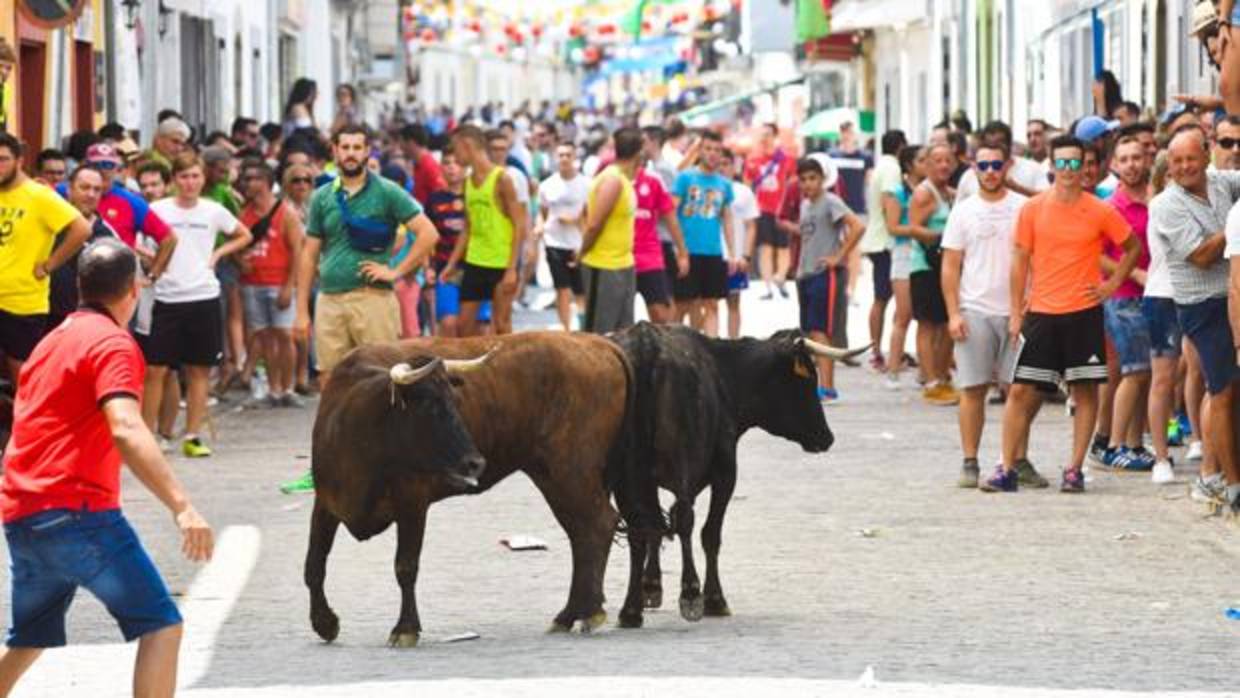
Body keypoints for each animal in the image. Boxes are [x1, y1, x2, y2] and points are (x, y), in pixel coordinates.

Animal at [303, 329, 664, 649]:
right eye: (429, 405)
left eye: (454, 401)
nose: (475, 462)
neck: (358, 426)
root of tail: (597, 343)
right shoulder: (326, 502)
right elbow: (314, 564)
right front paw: (324, 622)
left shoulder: (412, 501)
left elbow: (405, 566)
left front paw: (405, 629)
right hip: (561, 476)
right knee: (596, 532)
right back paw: (579, 613)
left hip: (572, 471)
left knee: (599, 526)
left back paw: (590, 612)